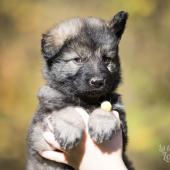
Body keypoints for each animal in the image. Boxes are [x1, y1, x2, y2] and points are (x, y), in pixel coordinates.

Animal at [25, 11, 134, 169]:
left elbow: (105, 107)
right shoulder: (39, 137)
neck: (85, 101)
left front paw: (102, 124)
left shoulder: (122, 127)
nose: (97, 82)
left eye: (106, 59)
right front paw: (69, 130)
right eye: (78, 60)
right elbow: (67, 109)